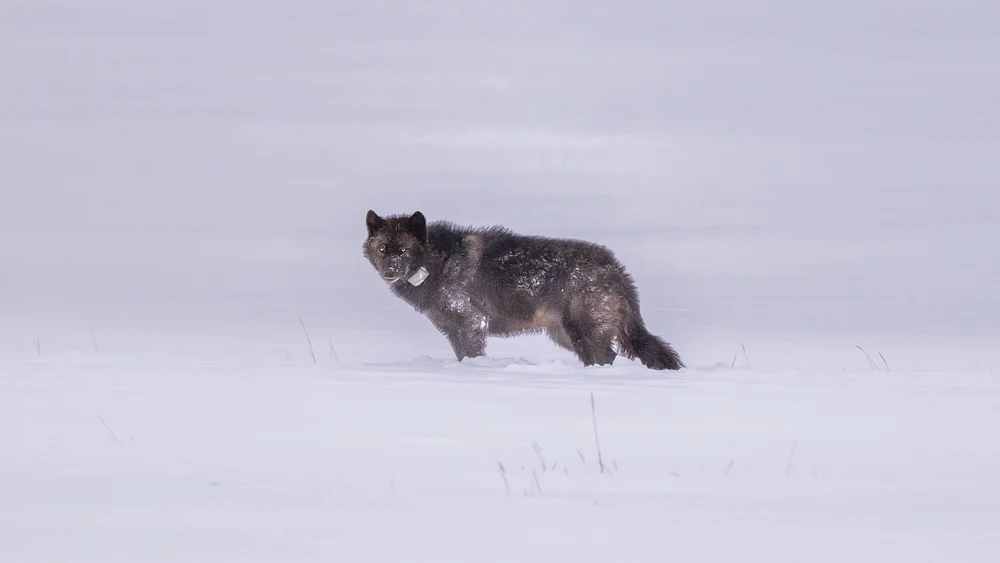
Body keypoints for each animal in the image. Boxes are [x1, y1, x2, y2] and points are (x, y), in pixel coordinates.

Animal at [362, 210, 684, 370]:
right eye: (383, 249)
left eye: (403, 250)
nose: (390, 272)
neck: (435, 262)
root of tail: (616, 268)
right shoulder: (453, 329)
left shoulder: (471, 323)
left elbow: (470, 356)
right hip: (565, 336)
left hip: (582, 333)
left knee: (606, 358)